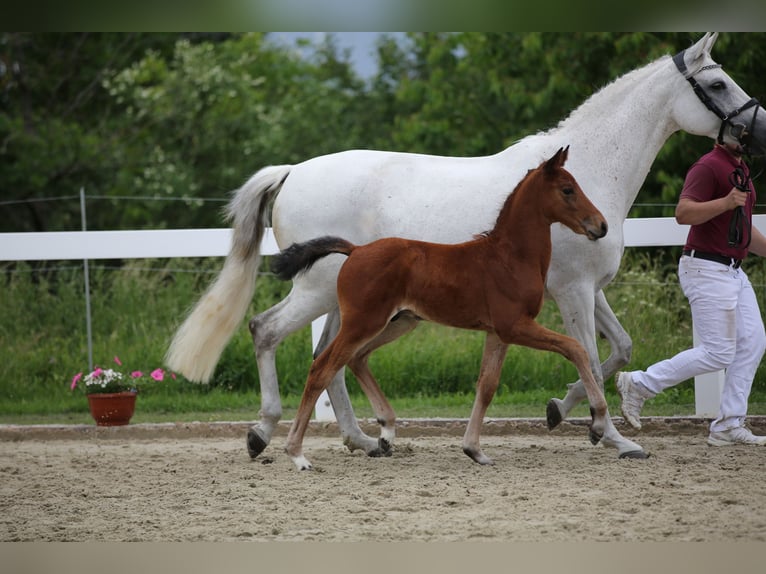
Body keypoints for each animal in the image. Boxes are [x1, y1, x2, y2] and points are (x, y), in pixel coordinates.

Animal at [271, 147, 608, 470]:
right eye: (567, 189)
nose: (601, 225)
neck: (510, 257)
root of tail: (355, 250)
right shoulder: (515, 325)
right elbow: (576, 348)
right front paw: (598, 424)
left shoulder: (498, 333)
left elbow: (487, 385)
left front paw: (474, 450)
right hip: (363, 323)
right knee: (322, 368)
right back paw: (298, 455)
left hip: (399, 322)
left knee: (356, 358)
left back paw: (386, 433)